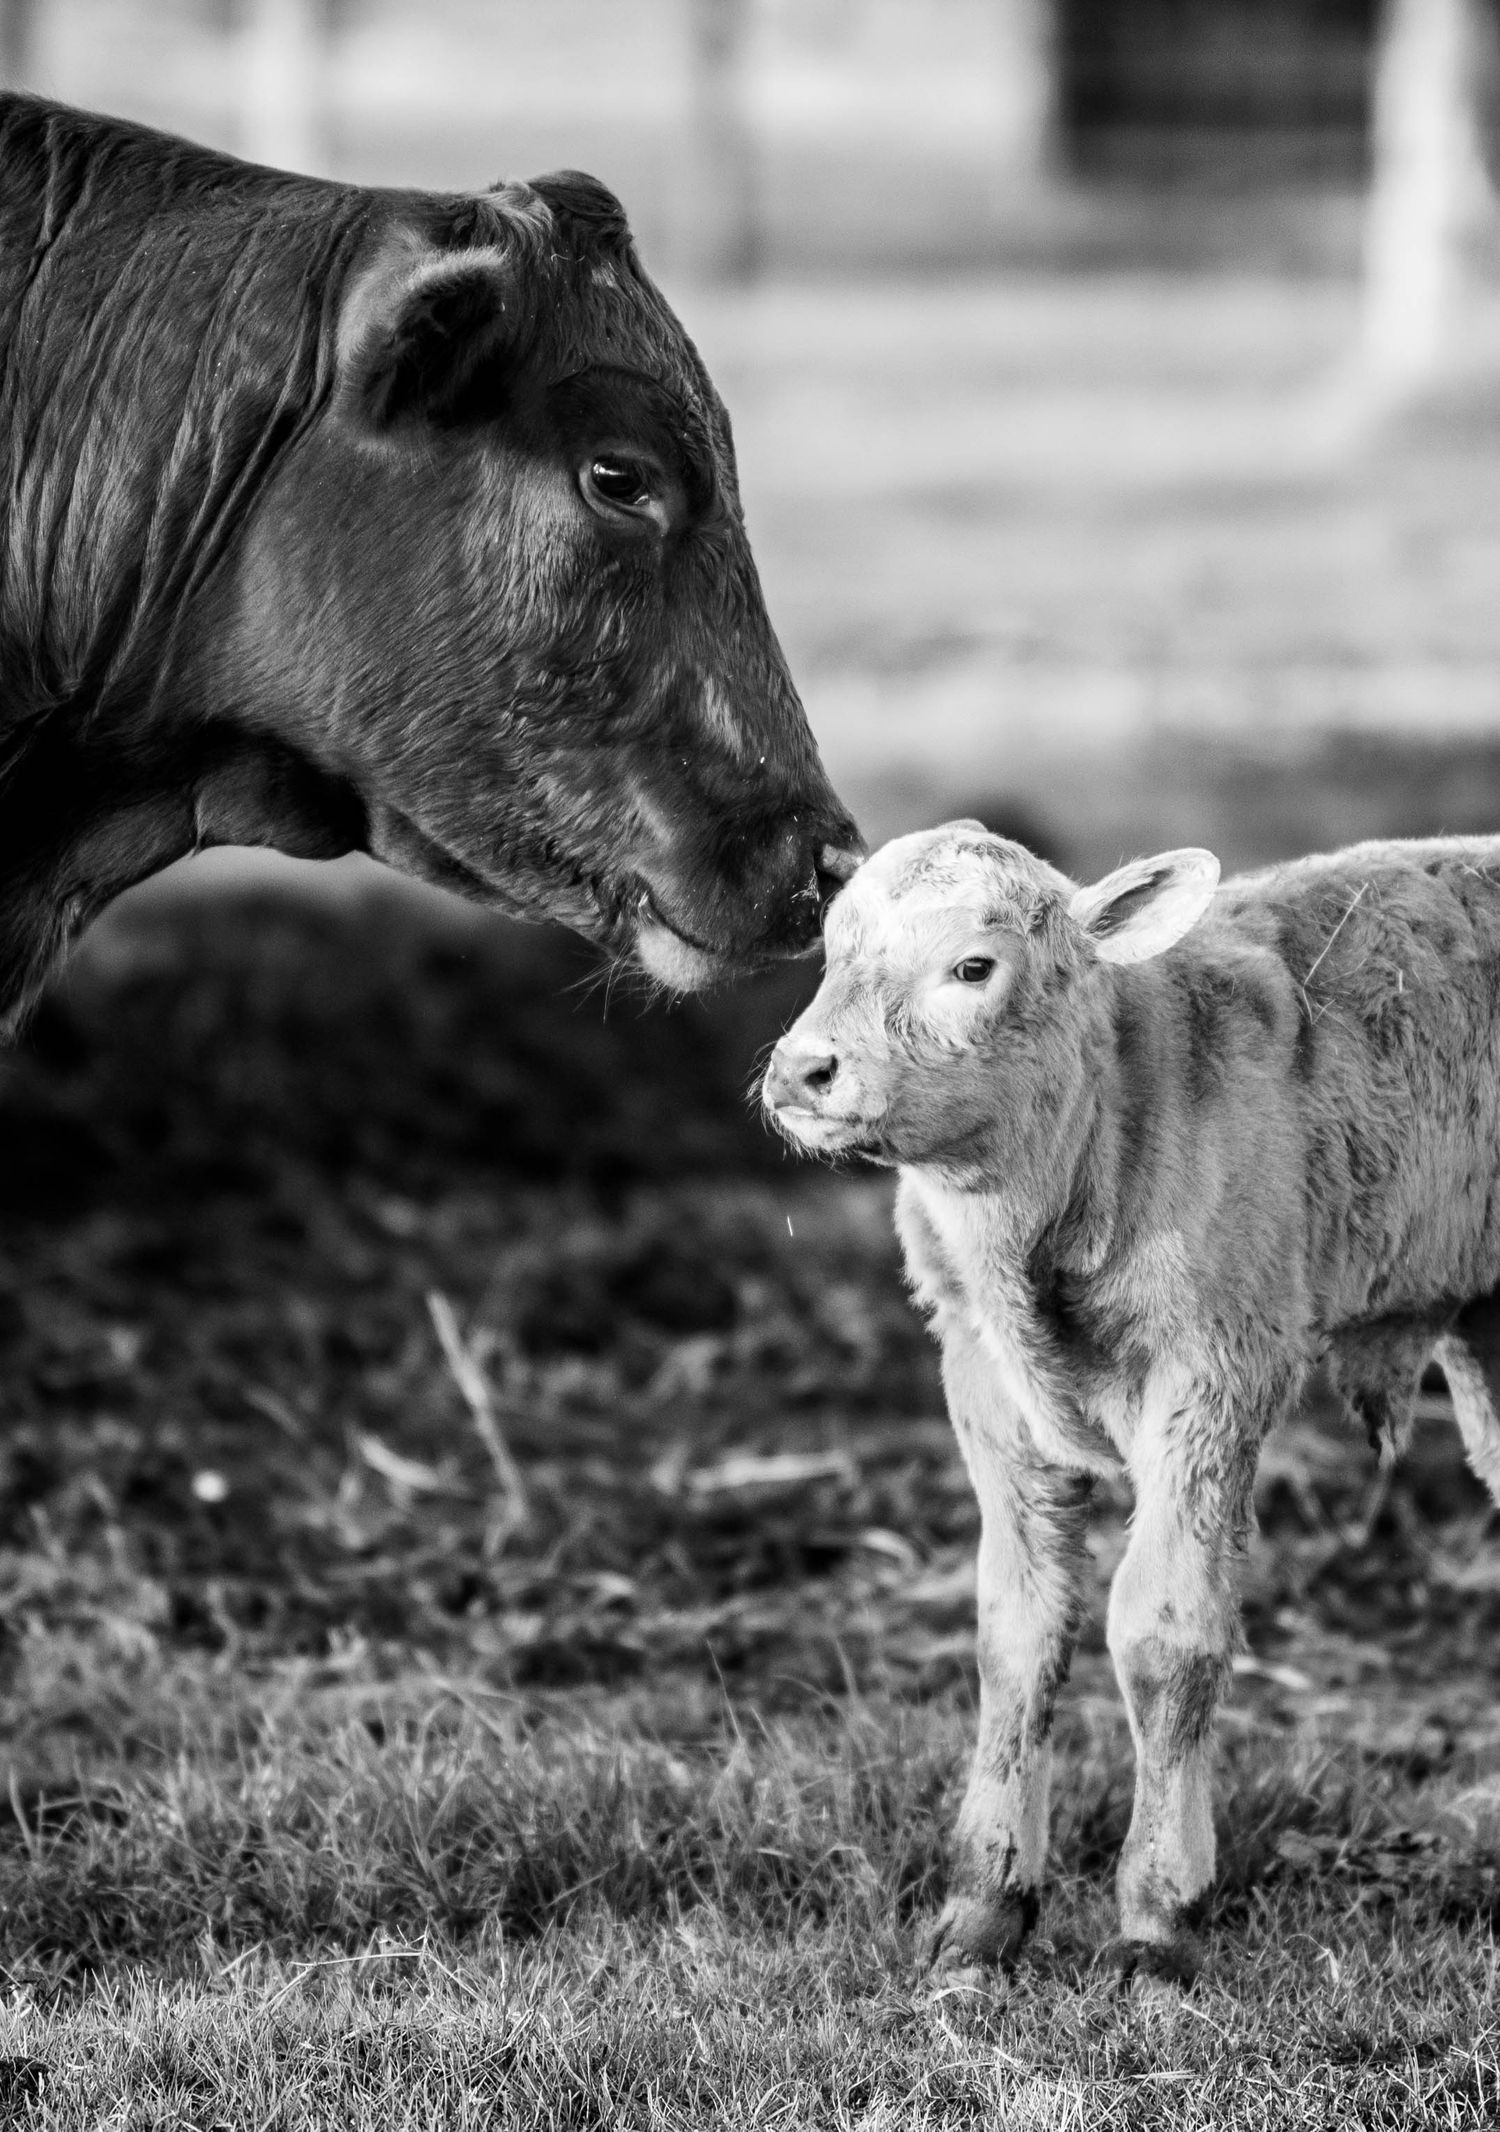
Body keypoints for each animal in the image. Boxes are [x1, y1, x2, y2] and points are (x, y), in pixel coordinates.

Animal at [763, 821, 1500, 1993]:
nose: (803, 1069)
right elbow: (1016, 1630)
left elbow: (1163, 1629)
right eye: (832, 951)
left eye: (974, 966)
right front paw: (982, 1910)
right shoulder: (981, 1375)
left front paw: (1157, 1918)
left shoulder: (1216, 1366)